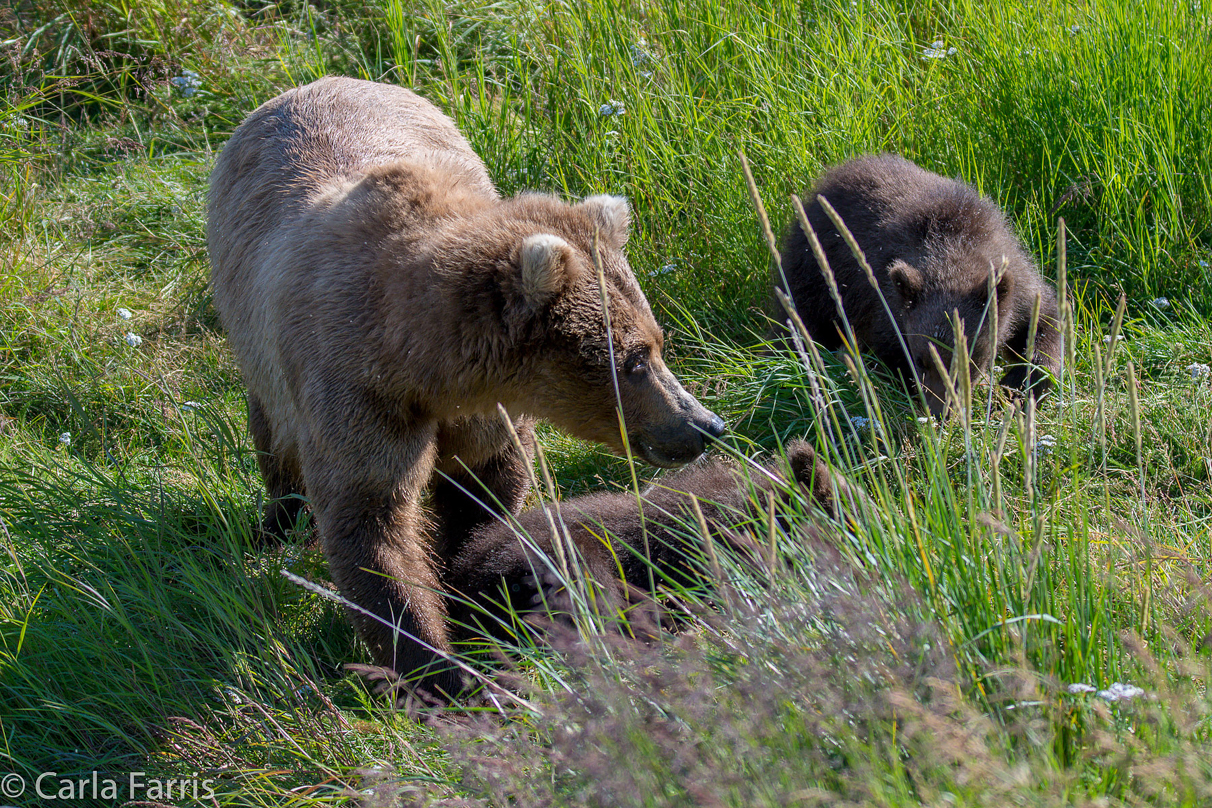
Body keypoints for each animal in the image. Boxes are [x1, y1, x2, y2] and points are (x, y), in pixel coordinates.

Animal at [206, 77, 727, 697]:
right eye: (634, 358)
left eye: (656, 341)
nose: (704, 424)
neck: (420, 361)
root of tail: (308, 85)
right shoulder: (354, 392)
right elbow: (372, 523)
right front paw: (441, 672)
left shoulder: (483, 406)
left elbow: (484, 487)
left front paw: (468, 587)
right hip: (253, 333)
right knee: (272, 430)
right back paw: (278, 519)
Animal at [780, 153, 1056, 414]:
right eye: (922, 360)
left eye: (968, 359)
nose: (941, 411)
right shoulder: (886, 303)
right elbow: (889, 352)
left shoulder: (1018, 284)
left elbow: (1045, 321)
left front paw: (1019, 383)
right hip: (816, 271)